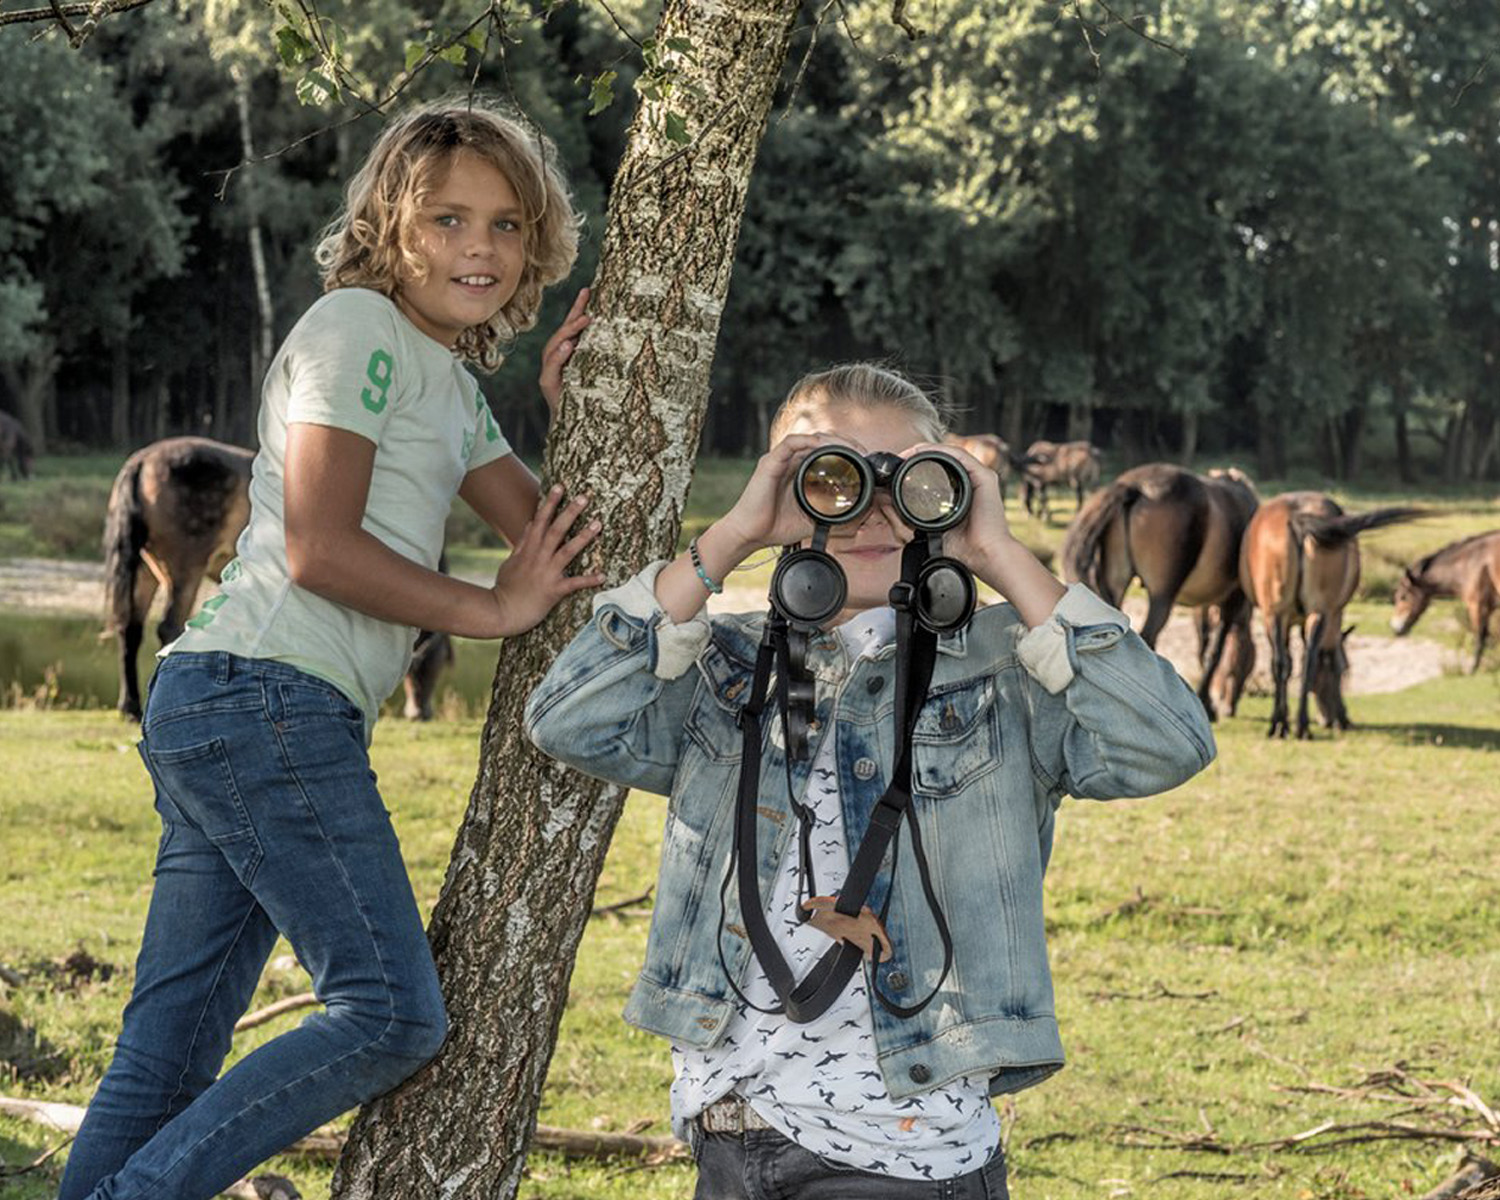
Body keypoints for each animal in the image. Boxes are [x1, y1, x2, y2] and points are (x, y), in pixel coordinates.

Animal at [104, 441, 450, 723]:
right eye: (426, 667)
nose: (421, 713)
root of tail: (142, 463)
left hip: (147, 568)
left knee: (130, 630)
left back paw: (131, 707)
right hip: (183, 567)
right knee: (168, 626)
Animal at [1062, 465, 1260, 717]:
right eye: (1247, 662)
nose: (1229, 708)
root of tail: (1134, 486)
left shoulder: (1203, 604)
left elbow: (1203, 645)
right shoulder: (1233, 599)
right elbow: (1214, 651)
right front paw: (1207, 703)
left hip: (1116, 583)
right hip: (1162, 596)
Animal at [1242, 489, 1416, 735]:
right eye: (1344, 672)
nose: (1331, 719)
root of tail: (1298, 519)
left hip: (1281, 612)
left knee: (1288, 662)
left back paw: (1285, 723)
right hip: (1308, 612)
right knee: (1301, 661)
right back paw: (1296, 724)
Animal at [1386, 531, 1494, 675]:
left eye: (1403, 597)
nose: (1395, 629)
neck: (1470, 563)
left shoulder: (1478, 607)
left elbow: (1480, 636)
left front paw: (1472, 669)